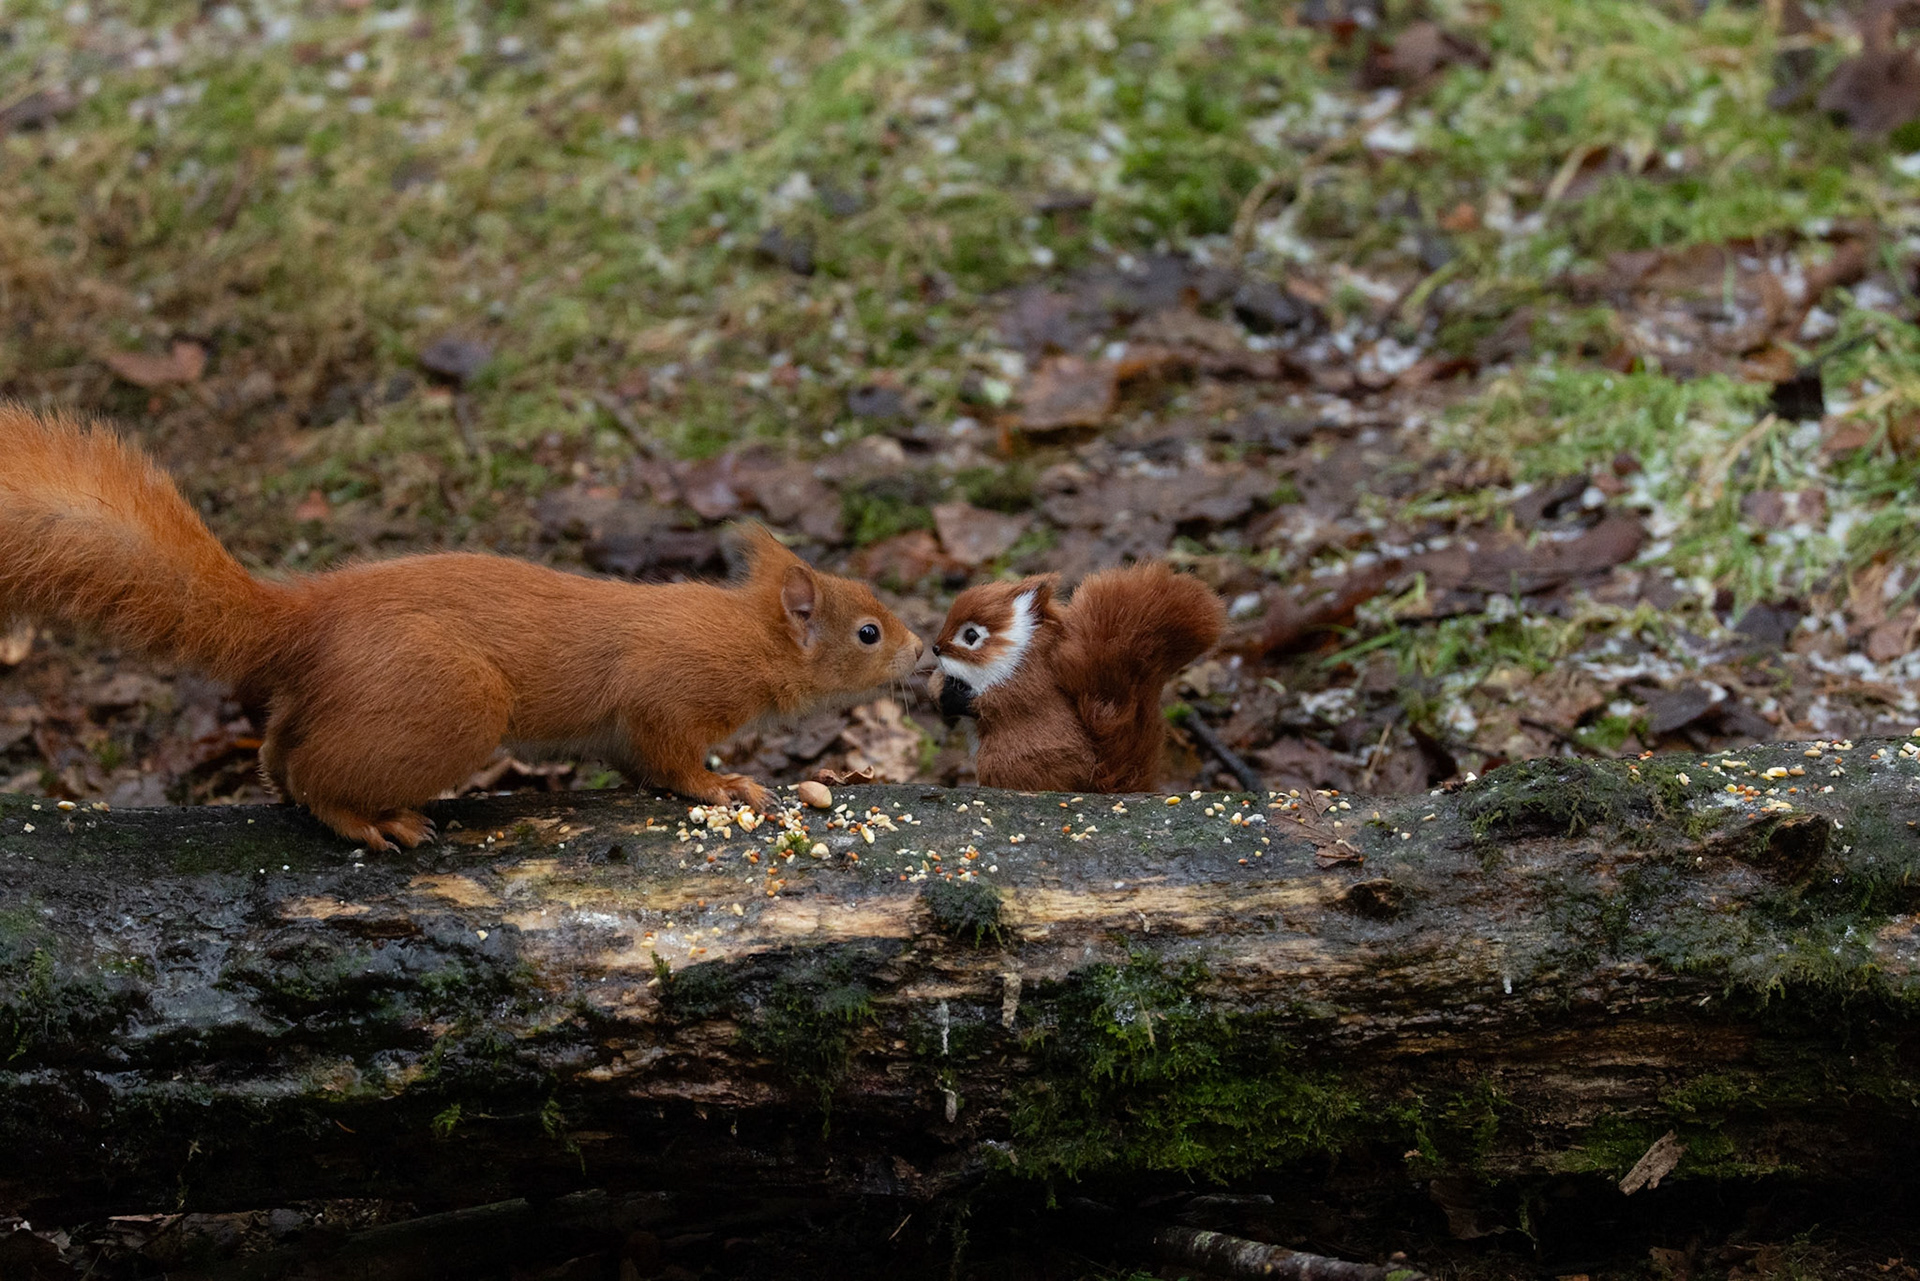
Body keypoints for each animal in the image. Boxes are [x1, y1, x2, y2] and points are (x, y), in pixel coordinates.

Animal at [0, 405, 923, 850]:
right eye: (868, 632)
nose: (923, 651)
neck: (745, 635)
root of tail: (302, 618)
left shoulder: (624, 729)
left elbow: (638, 762)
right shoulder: (670, 691)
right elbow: (673, 756)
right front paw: (728, 787)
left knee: (280, 754)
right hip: (451, 701)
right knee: (317, 775)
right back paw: (373, 822)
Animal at [927, 561, 1224, 792]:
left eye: (971, 636)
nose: (935, 648)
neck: (1013, 654)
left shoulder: (1020, 686)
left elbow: (991, 703)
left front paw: (949, 694)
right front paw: (936, 685)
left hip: (1002, 763)